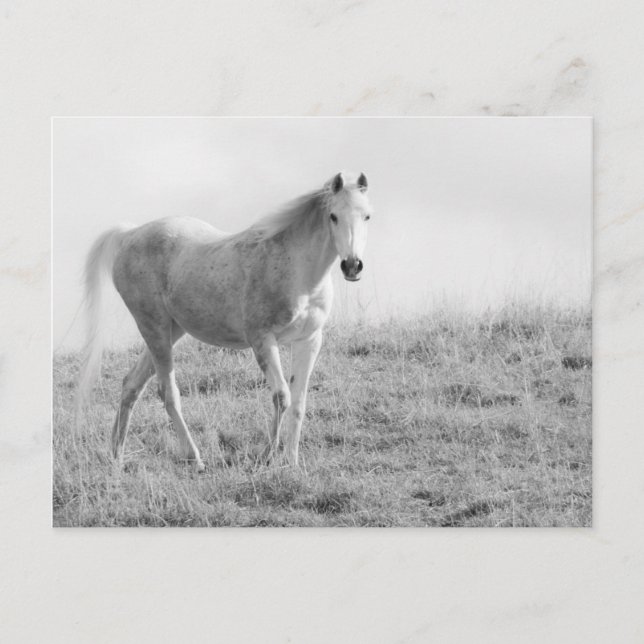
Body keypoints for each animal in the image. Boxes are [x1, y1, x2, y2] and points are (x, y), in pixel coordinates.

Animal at [77, 171, 372, 471]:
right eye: (333, 216)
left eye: (367, 216)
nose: (352, 266)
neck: (299, 272)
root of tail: (129, 234)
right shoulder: (262, 340)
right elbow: (282, 396)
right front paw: (266, 456)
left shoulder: (309, 340)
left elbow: (299, 402)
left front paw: (292, 463)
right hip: (154, 327)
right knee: (167, 392)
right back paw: (194, 458)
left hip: (171, 331)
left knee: (131, 384)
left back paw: (117, 457)